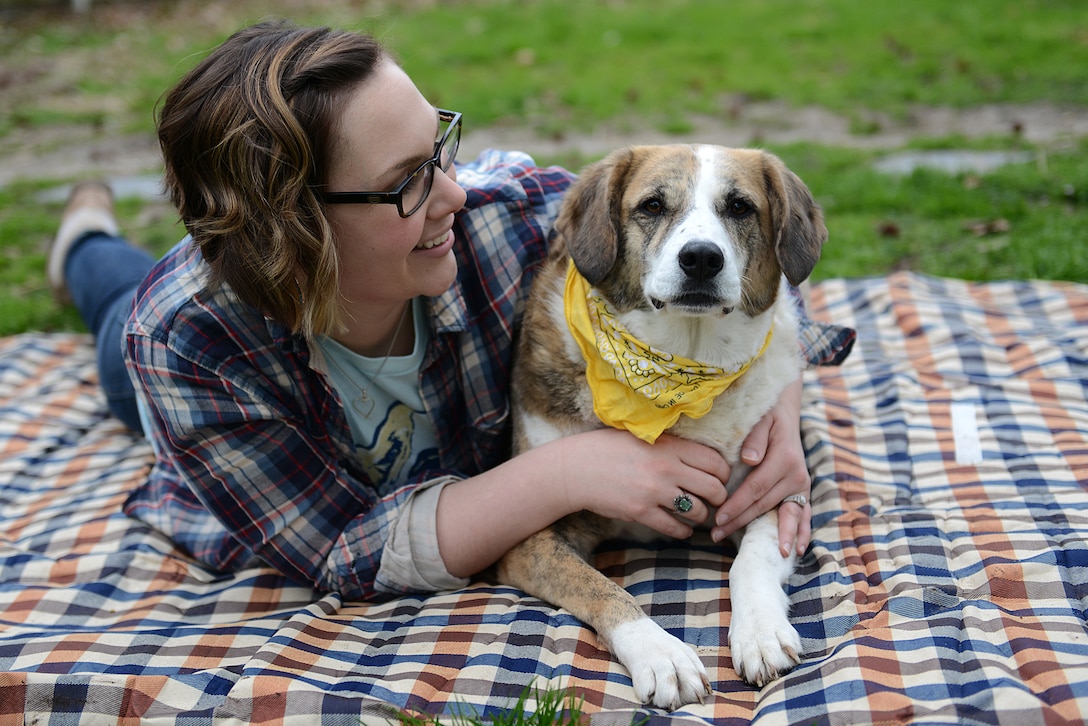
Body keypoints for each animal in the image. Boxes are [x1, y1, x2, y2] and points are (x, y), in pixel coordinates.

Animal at [498, 143, 826, 709]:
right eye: (652, 205)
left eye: (740, 207)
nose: (701, 258)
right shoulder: (530, 537)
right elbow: (603, 588)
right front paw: (662, 656)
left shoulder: (773, 493)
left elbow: (753, 559)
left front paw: (760, 632)